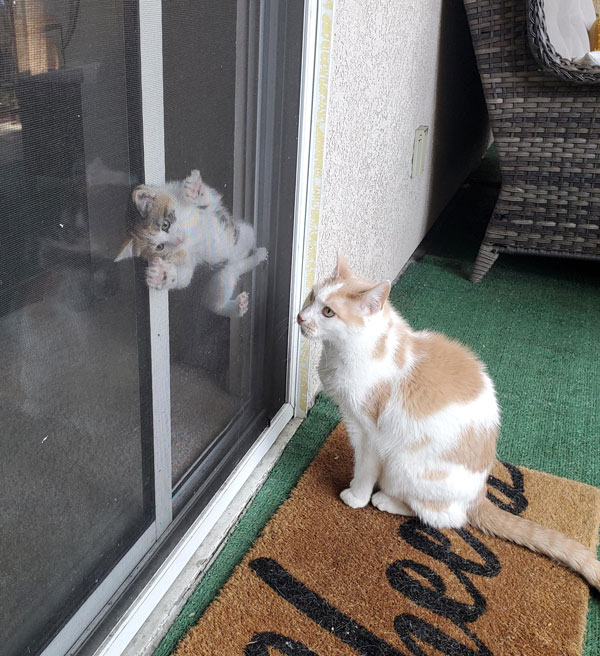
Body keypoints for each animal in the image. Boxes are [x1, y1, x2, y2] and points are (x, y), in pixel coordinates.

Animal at [115, 170, 268, 316]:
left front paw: (194, 189)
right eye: (160, 246)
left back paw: (259, 255)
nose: (178, 241)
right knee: (215, 302)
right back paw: (239, 306)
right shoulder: (188, 259)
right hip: (219, 276)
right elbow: (184, 278)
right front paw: (162, 275)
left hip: (245, 232)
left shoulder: (214, 208)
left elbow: (209, 197)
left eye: (165, 225)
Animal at [300, 252, 600, 588]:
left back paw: (386, 500)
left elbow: (365, 468)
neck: (355, 349)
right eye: (311, 297)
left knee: (443, 518)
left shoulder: (370, 434)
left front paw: (357, 495)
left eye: (328, 312)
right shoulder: (352, 422)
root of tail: (480, 494)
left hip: (403, 464)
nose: (300, 317)